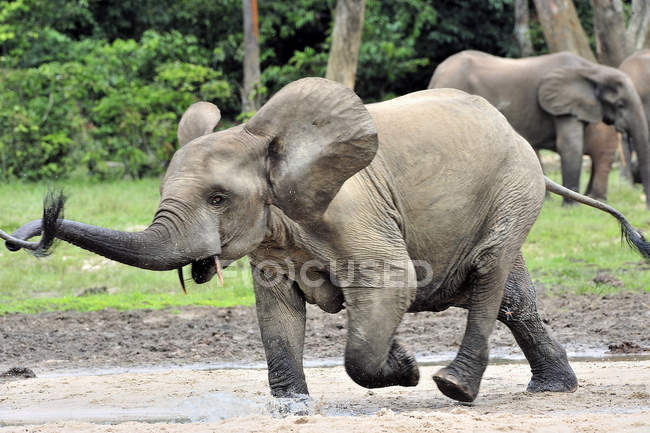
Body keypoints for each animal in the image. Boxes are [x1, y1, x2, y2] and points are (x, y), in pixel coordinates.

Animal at [5, 77, 648, 402]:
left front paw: (403, 368)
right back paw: (552, 388)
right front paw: (290, 405)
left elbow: (390, 286)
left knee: (491, 274)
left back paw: (453, 387)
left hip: (513, 188)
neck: (271, 144)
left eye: (218, 199)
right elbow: (276, 311)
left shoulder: (355, 212)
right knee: (514, 294)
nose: (31, 232)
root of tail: (522, 146)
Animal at [426, 49, 648, 208]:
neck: (594, 70)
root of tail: (437, 73)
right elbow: (570, 146)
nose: (645, 204)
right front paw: (571, 207)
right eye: (620, 104)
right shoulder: (562, 106)